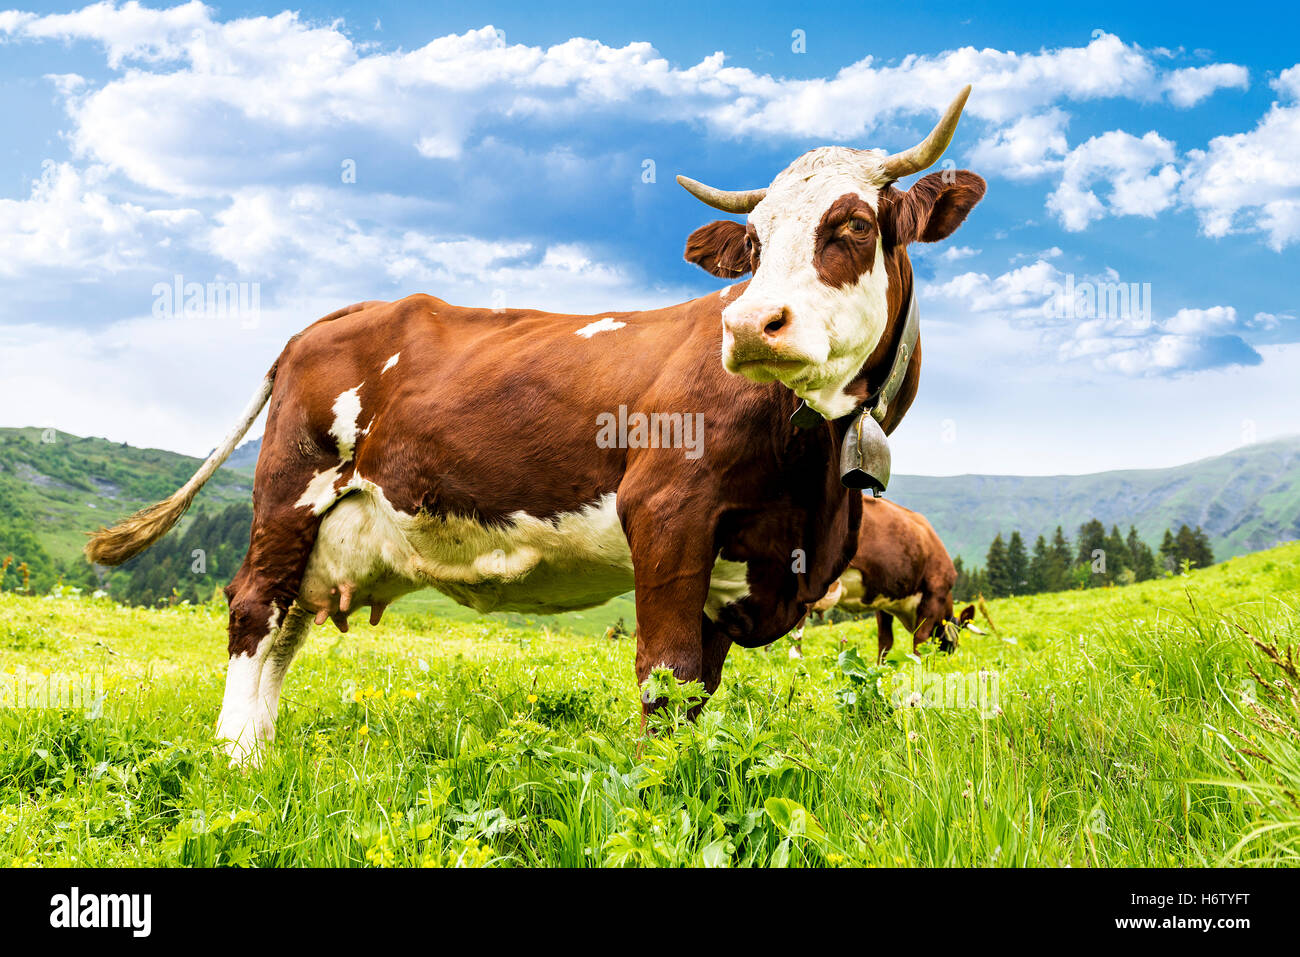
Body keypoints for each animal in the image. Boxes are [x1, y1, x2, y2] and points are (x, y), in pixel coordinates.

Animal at [785, 494, 977, 657]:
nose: (949, 654)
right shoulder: (935, 594)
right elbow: (919, 640)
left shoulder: (884, 603)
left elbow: (885, 642)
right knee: (795, 642)